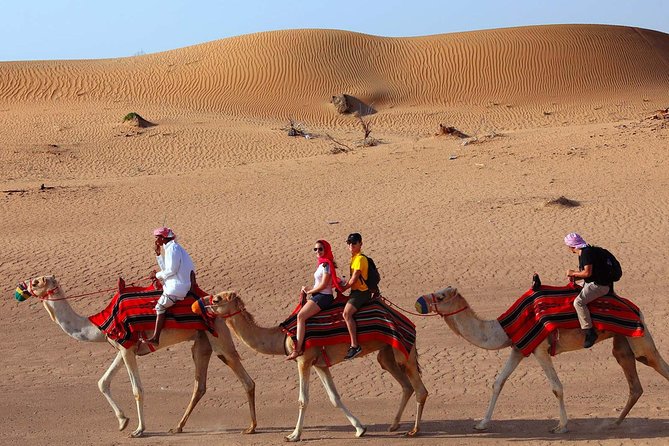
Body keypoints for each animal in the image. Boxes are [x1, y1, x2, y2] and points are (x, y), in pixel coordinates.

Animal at [19, 275, 257, 437]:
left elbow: (137, 390)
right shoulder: (125, 346)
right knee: (200, 385)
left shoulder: (127, 348)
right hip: (201, 342)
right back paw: (178, 427)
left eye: (37, 281)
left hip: (218, 335)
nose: (21, 286)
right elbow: (103, 382)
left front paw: (139, 430)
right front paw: (123, 421)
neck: (98, 325)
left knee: (244, 377)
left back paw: (252, 428)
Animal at [203, 291, 428, 442]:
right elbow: (334, 398)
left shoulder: (304, 359)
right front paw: (359, 429)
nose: (203, 306)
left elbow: (303, 400)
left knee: (420, 389)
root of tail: (408, 321)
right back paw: (394, 425)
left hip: (403, 351)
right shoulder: (320, 364)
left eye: (217, 300)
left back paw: (413, 431)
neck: (282, 336)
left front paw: (293, 435)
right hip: (387, 353)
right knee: (405, 385)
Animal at [419, 285, 669, 433]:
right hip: (622, 343)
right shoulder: (518, 349)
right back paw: (615, 423)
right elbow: (498, 382)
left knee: (656, 363)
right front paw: (481, 423)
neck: (503, 328)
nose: (420, 300)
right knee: (634, 383)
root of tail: (638, 310)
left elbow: (556, 387)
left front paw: (561, 426)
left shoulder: (540, 349)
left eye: (440, 296)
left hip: (639, 338)